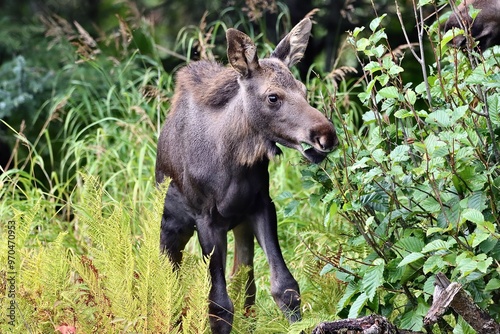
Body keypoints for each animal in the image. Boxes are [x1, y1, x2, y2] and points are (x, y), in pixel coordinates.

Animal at [154, 18, 338, 334]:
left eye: (303, 89)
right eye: (273, 97)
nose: (325, 135)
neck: (233, 161)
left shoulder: (261, 205)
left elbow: (284, 286)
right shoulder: (206, 218)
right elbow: (218, 306)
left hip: (239, 226)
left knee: (244, 279)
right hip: (172, 225)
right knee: (170, 281)